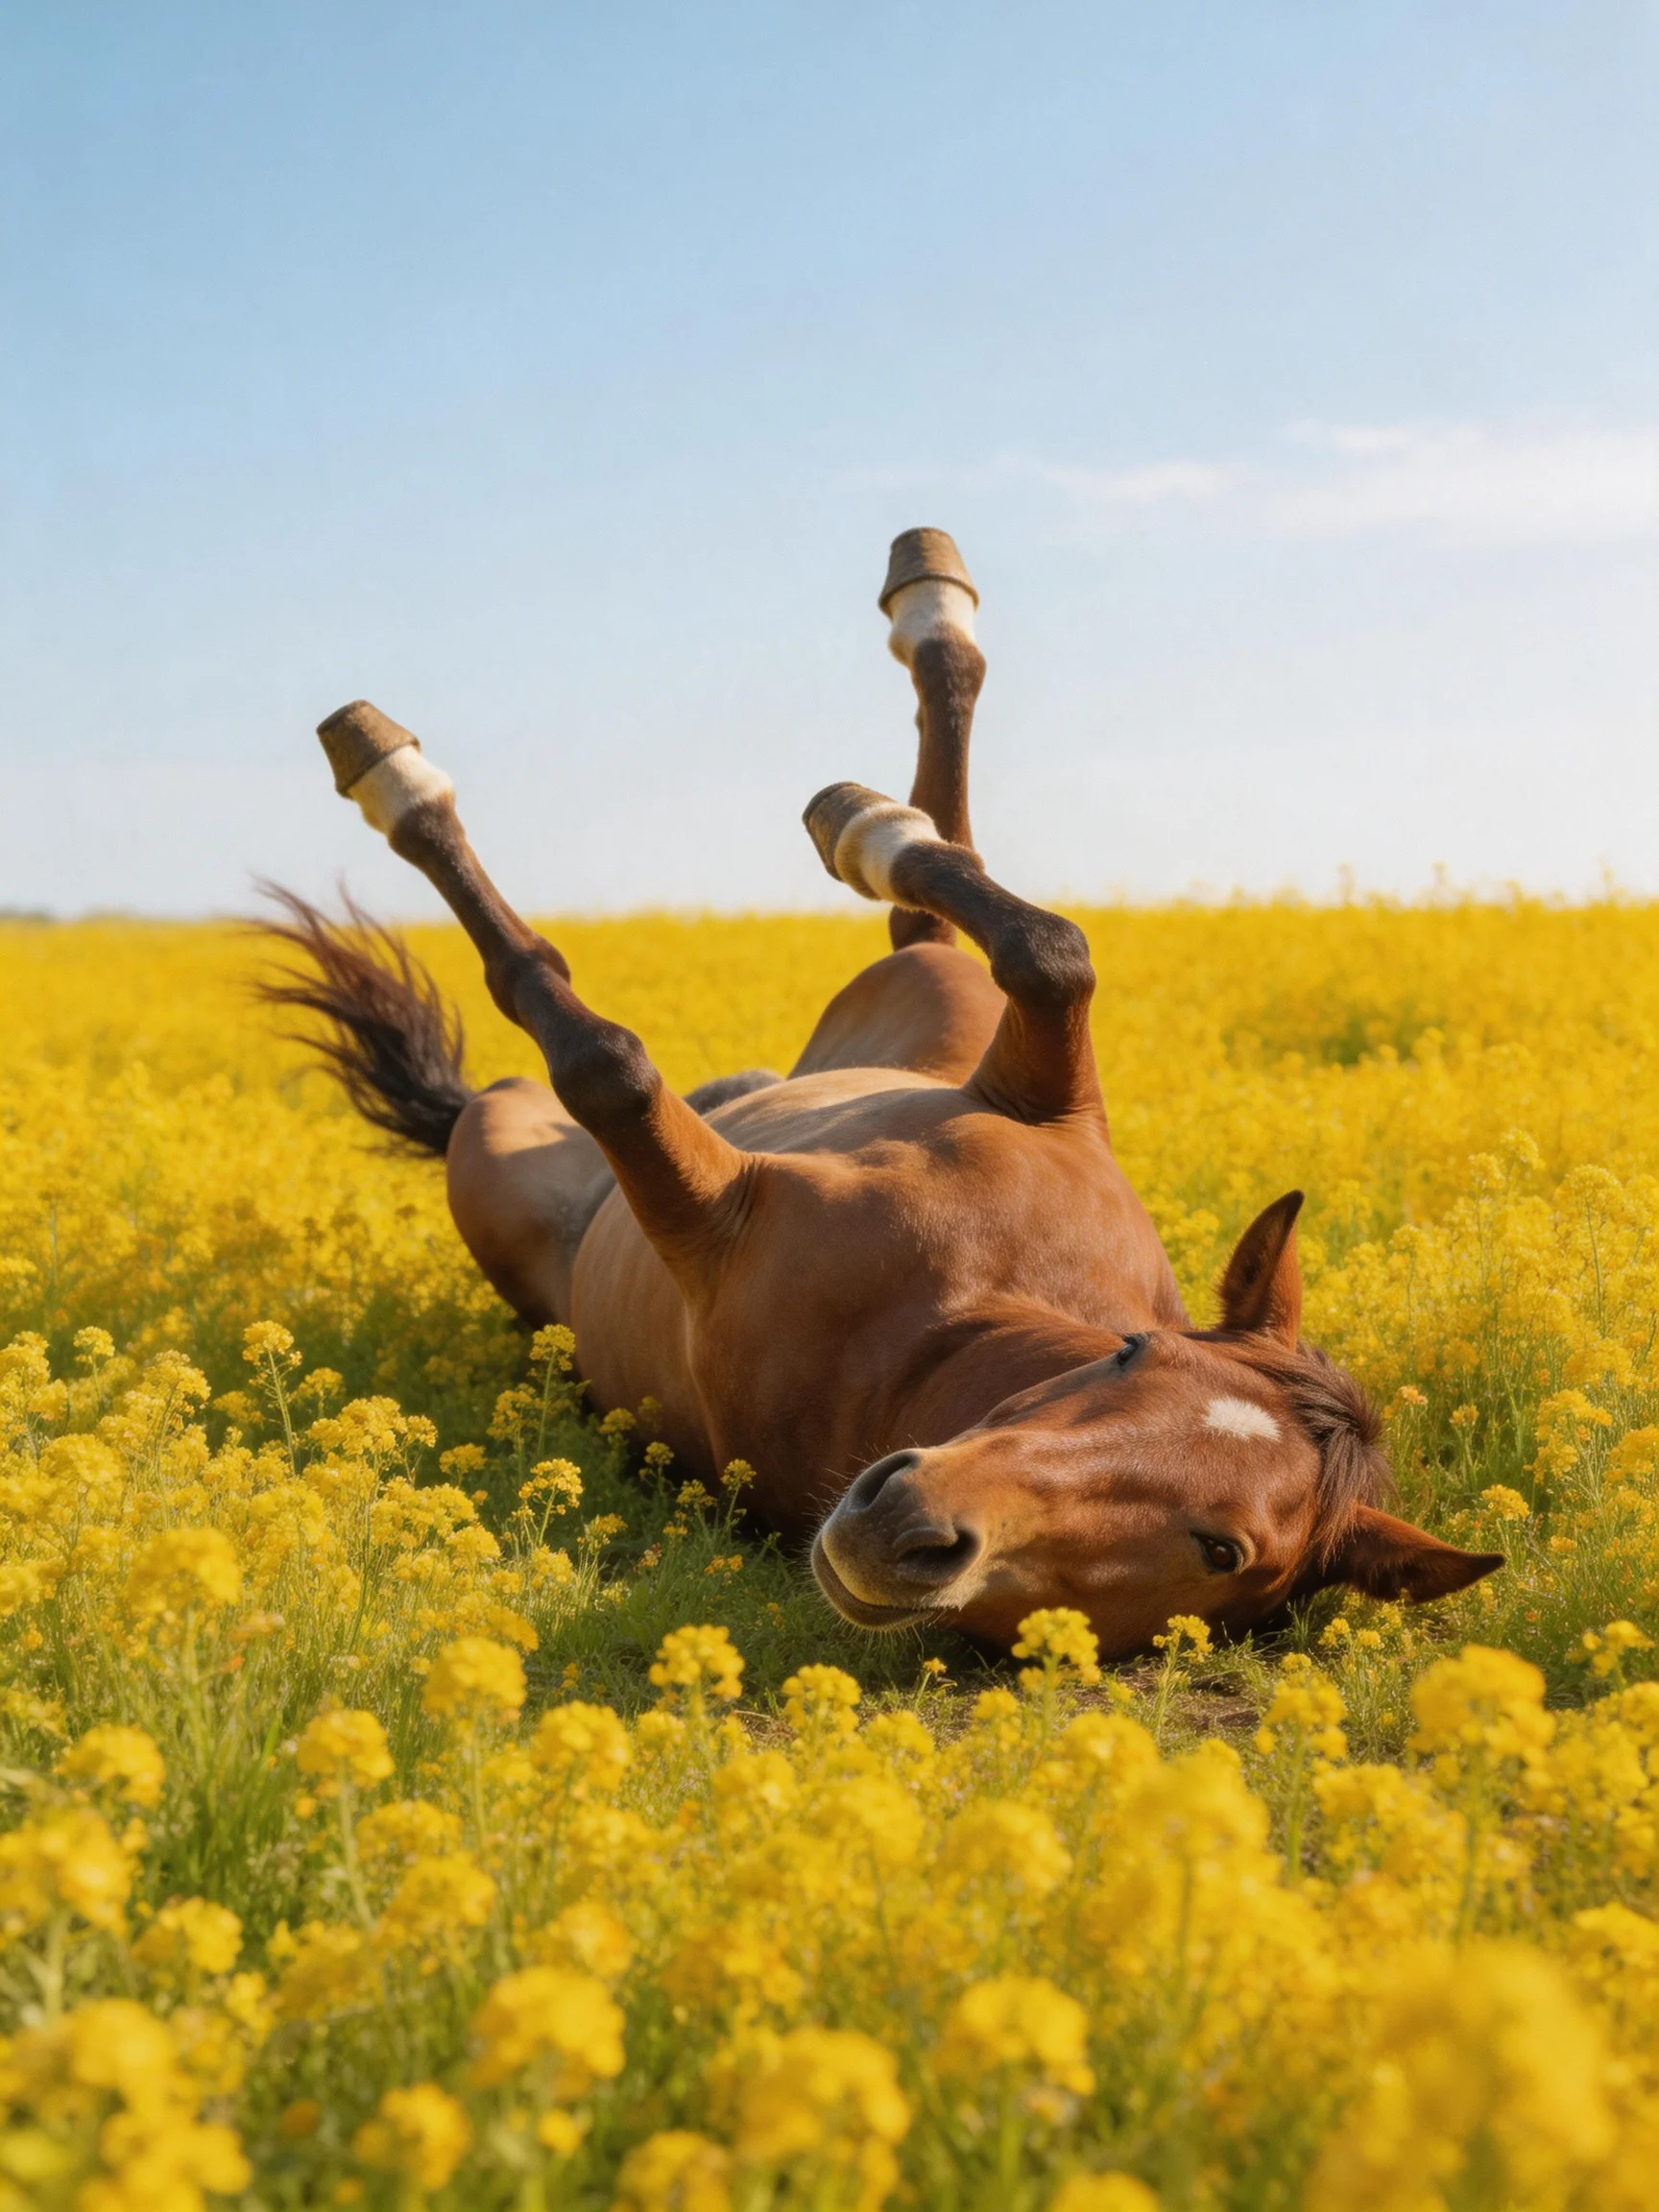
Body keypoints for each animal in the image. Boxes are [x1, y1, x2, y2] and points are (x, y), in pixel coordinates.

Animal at [261, 527, 1500, 1656]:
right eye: (1134, 1355)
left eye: (1223, 1549)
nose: (906, 1522)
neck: (936, 1326)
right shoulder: (1042, 1095)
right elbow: (1054, 951)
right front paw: (864, 818)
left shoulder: (704, 1209)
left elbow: (603, 1062)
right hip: (931, 1019)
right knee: (935, 902)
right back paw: (919, 625)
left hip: (501, 1149)